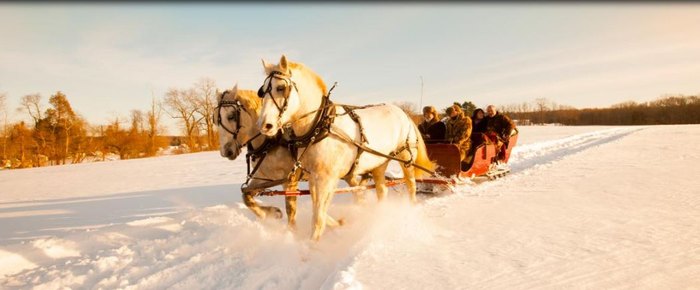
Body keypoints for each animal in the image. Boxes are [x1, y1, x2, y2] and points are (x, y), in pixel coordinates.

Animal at [213, 85, 366, 229]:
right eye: (214, 120)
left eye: (231, 116)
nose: (226, 151)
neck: (272, 141)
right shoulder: (263, 177)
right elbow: (246, 196)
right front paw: (271, 213)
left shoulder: (290, 180)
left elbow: (291, 211)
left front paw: (293, 234)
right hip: (346, 173)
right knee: (357, 190)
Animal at [258, 55, 432, 241]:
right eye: (262, 91)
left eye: (281, 87)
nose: (264, 125)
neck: (319, 125)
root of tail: (402, 112)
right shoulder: (314, 177)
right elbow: (318, 210)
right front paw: (338, 223)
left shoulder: (327, 178)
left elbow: (318, 218)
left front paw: (312, 245)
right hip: (379, 163)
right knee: (382, 190)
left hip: (405, 157)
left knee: (411, 185)